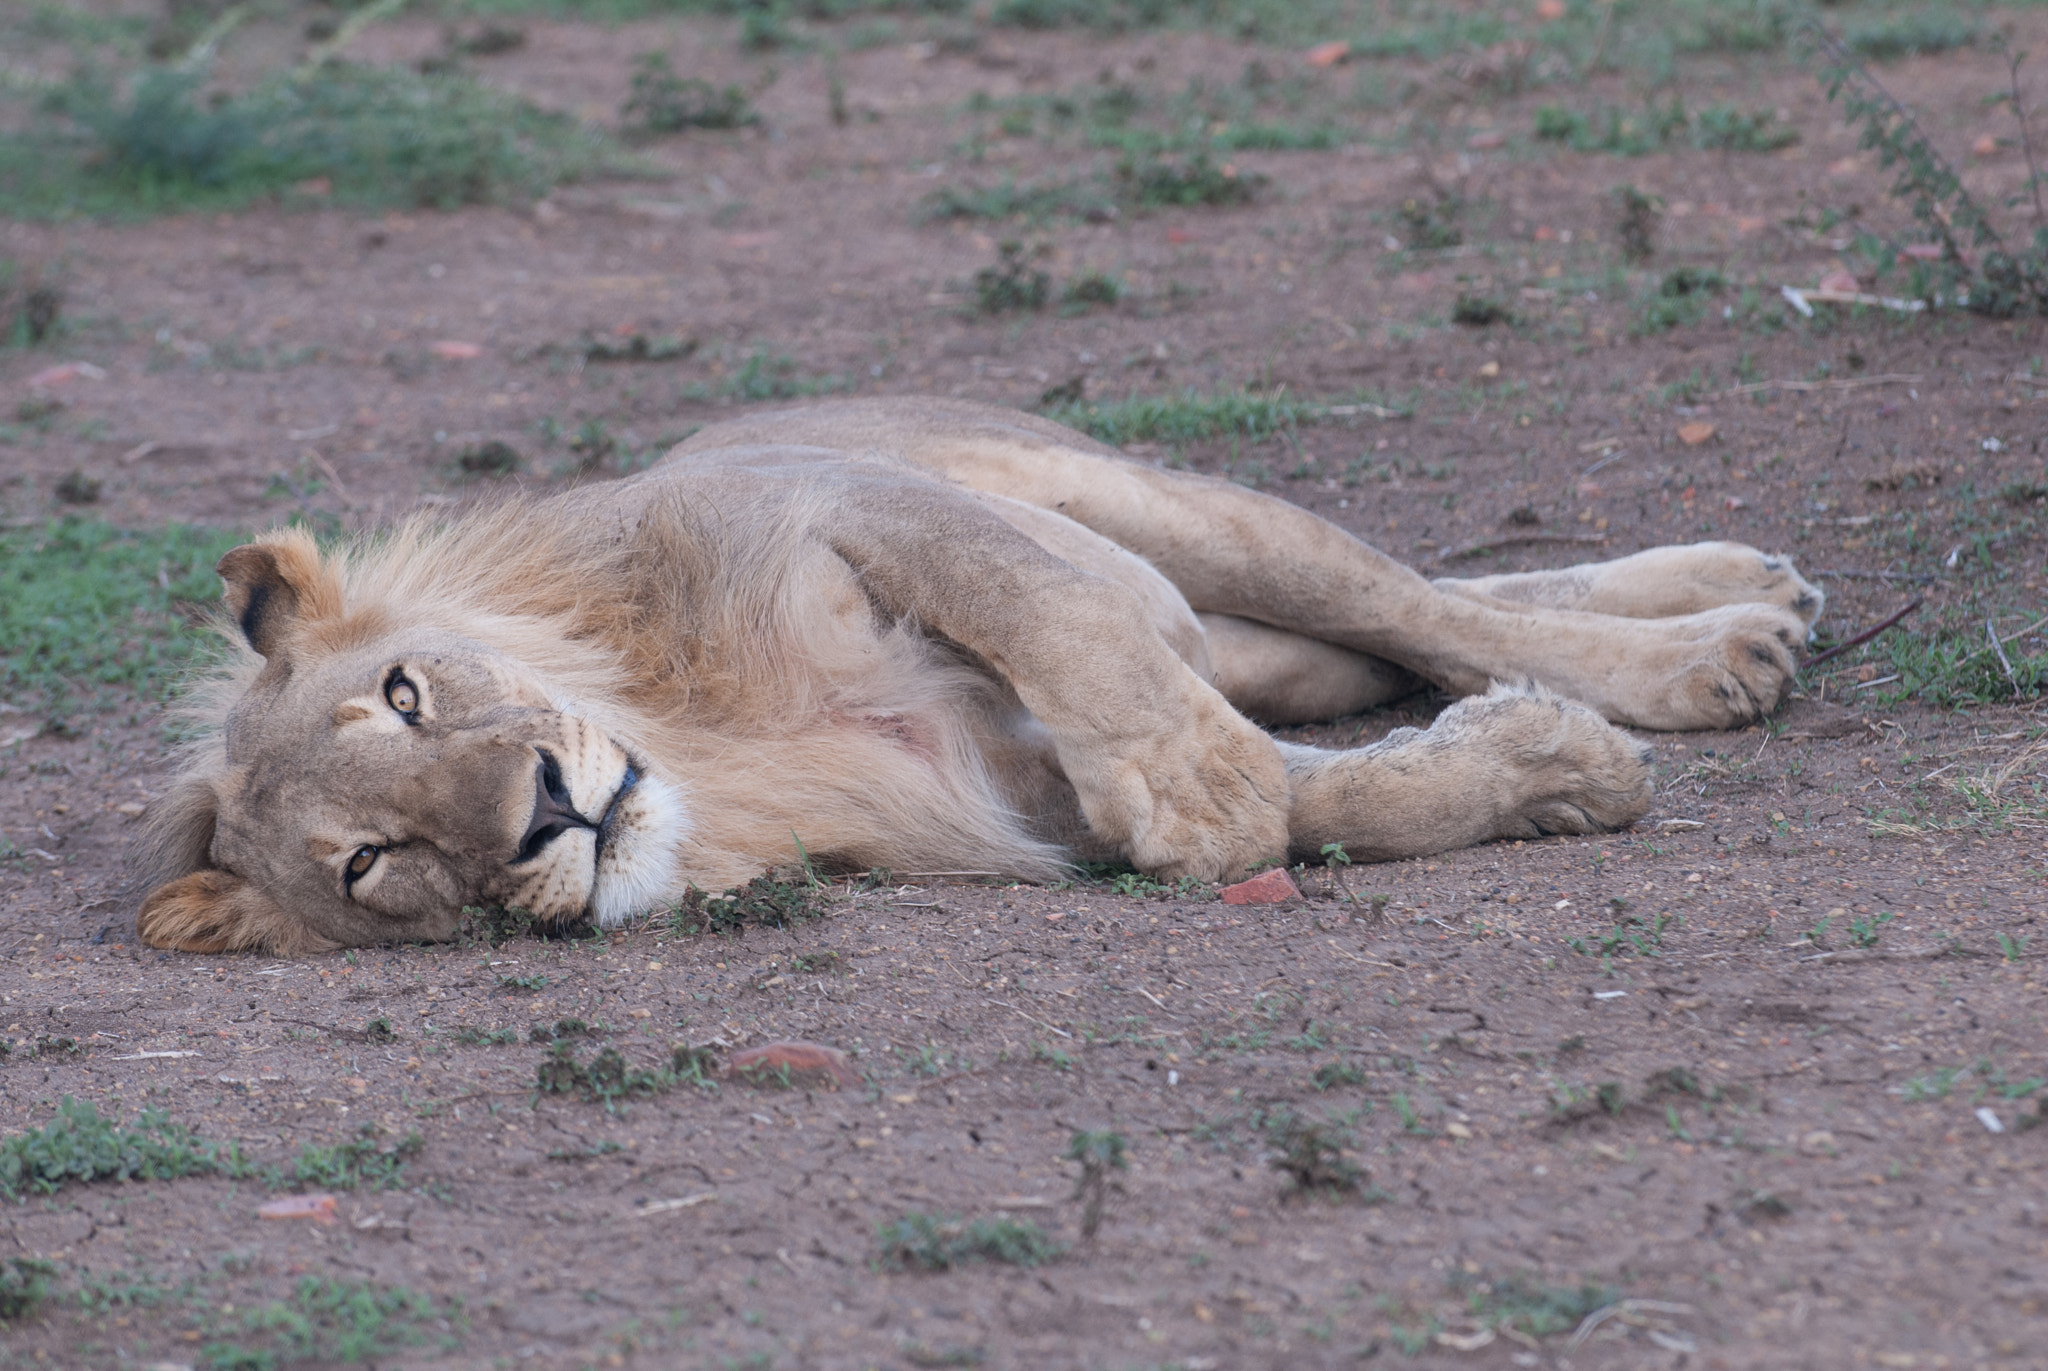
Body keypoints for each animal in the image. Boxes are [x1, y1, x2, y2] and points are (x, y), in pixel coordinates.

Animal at [136, 397, 1822, 954]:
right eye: (371, 862)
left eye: (406, 692)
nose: (551, 811)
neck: (720, 764)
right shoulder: (1017, 792)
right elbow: (1341, 802)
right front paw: (1553, 771)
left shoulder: (835, 504)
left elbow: (1052, 611)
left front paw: (1199, 790)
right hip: (1273, 641)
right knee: (1394, 634)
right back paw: (1736, 609)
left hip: (1156, 503)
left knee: (1415, 596)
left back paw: (1720, 634)